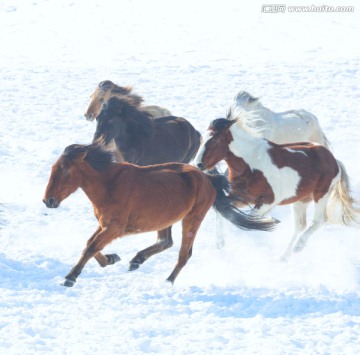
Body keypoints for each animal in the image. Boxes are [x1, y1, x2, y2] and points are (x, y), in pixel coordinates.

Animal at [43, 144, 278, 286]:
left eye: (65, 169)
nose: (48, 200)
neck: (109, 184)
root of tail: (207, 179)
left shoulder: (114, 227)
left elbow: (91, 247)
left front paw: (70, 278)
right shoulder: (105, 225)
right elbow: (90, 245)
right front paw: (111, 259)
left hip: (192, 219)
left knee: (184, 254)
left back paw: (167, 281)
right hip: (168, 219)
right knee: (166, 242)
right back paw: (136, 260)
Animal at [197, 118, 360, 260]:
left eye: (214, 140)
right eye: (201, 139)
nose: (198, 164)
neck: (251, 162)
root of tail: (335, 161)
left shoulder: (267, 201)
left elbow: (247, 217)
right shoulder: (241, 197)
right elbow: (223, 211)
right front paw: (219, 242)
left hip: (321, 194)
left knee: (319, 220)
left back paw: (298, 246)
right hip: (300, 201)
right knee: (300, 226)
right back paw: (283, 257)